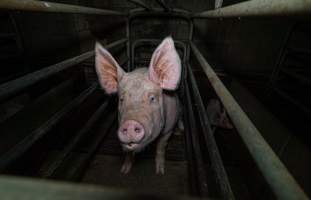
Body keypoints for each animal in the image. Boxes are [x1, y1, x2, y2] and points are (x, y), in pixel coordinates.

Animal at [95, 36, 183, 174]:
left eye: (152, 98)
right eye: (121, 99)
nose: (130, 123)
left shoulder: (168, 130)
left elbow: (161, 147)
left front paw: (160, 171)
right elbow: (128, 153)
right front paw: (124, 171)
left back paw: (180, 131)